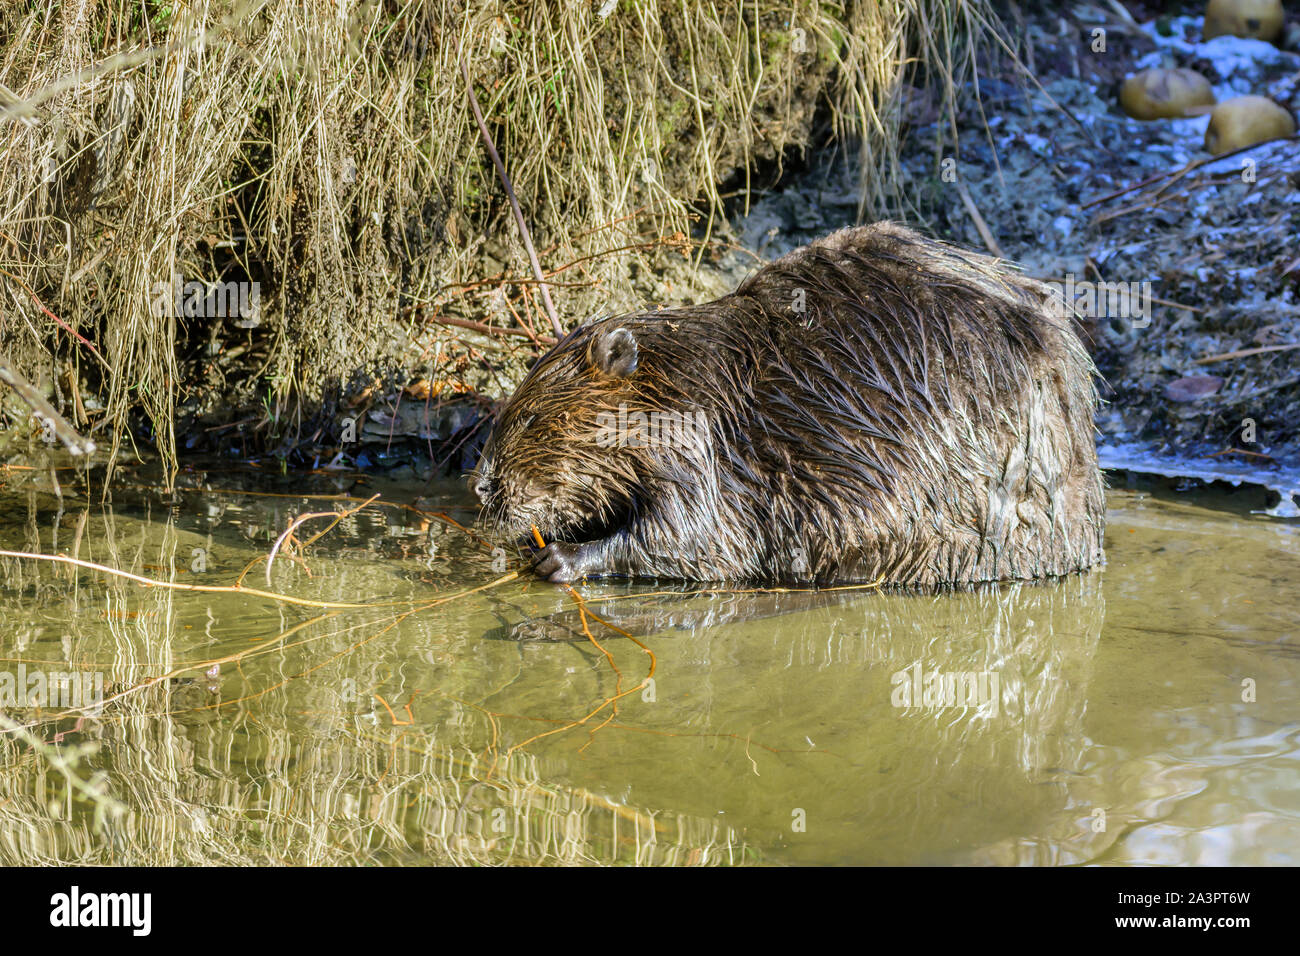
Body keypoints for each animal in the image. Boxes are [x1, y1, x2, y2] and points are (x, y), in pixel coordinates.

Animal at [478, 223, 1107, 587]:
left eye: (530, 417)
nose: (482, 486)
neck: (688, 375)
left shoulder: (698, 446)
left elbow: (696, 539)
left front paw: (561, 558)